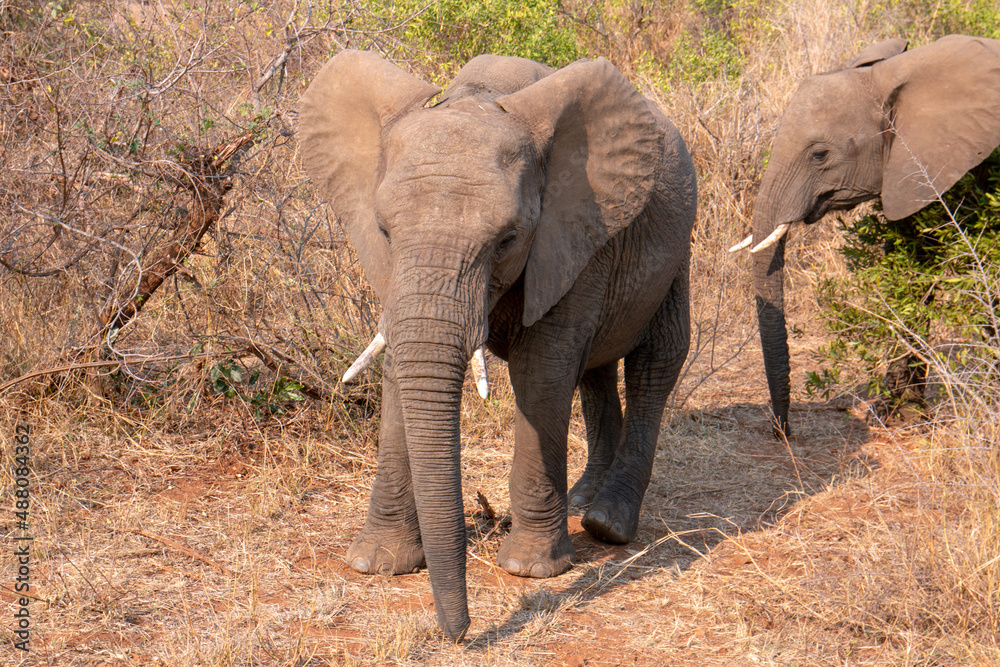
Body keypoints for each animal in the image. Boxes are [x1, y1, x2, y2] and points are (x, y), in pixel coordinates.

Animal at [298, 50, 696, 640]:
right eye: (384, 231)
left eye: (507, 240)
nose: (460, 634)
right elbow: (400, 365)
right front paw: (379, 564)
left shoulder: (576, 227)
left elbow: (543, 372)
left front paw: (531, 569)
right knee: (595, 370)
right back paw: (581, 501)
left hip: (676, 247)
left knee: (654, 363)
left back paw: (608, 524)